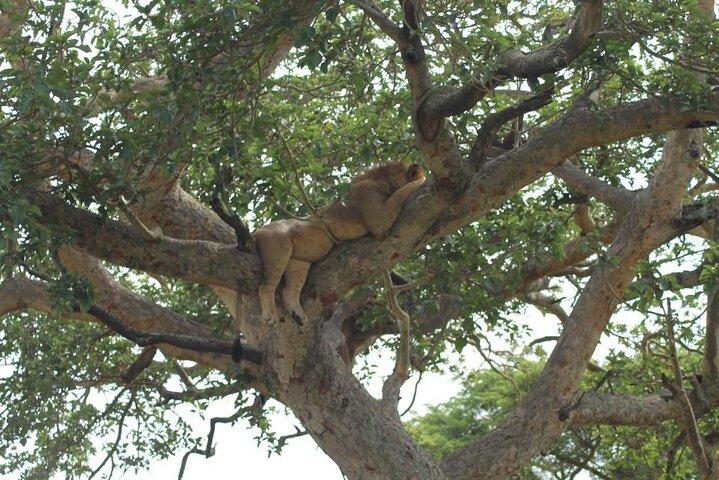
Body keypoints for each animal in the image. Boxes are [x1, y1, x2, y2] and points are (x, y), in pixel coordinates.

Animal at [253, 161, 426, 325]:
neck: (385, 182)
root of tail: (256, 231)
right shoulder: (379, 219)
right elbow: (400, 193)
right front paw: (422, 180)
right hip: (278, 247)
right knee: (266, 286)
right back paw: (270, 317)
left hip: (299, 262)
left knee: (289, 291)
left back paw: (299, 317)